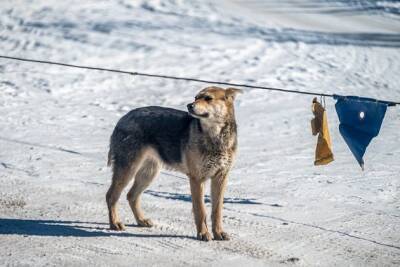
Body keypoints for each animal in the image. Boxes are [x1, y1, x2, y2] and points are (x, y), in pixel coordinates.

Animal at [105, 87, 241, 242]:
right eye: (195, 98)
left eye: (208, 98)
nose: (189, 105)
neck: (216, 137)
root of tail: (123, 118)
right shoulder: (197, 178)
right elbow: (200, 210)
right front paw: (203, 233)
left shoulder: (221, 177)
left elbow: (217, 211)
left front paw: (219, 233)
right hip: (128, 169)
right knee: (111, 196)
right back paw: (115, 223)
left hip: (149, 173)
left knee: (131, 196)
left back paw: (141, 220)